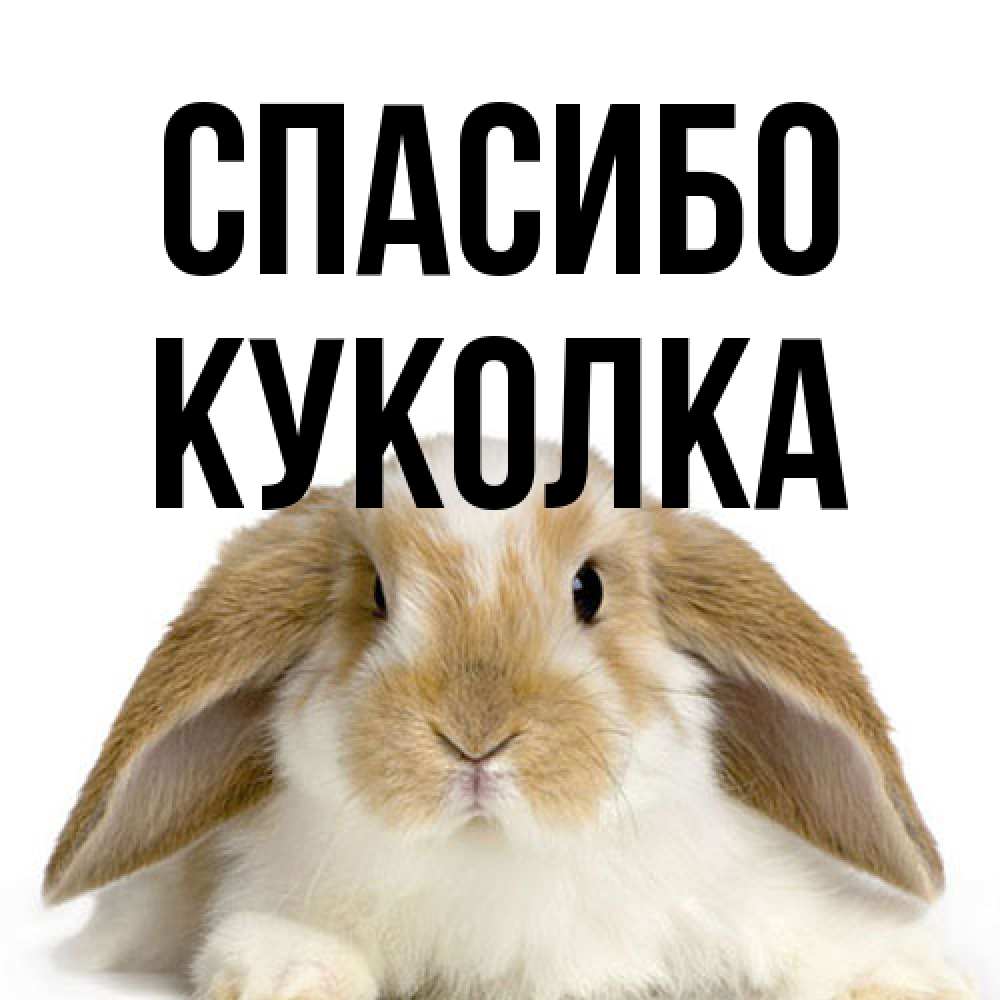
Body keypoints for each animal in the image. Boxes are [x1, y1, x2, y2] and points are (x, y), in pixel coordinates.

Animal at [45, 436, 975, 1000]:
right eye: (375, 596)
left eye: (589, 589)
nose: (475, 737)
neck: (494, 857)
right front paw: (290, 976)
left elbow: (816, 939)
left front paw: (909, 977)